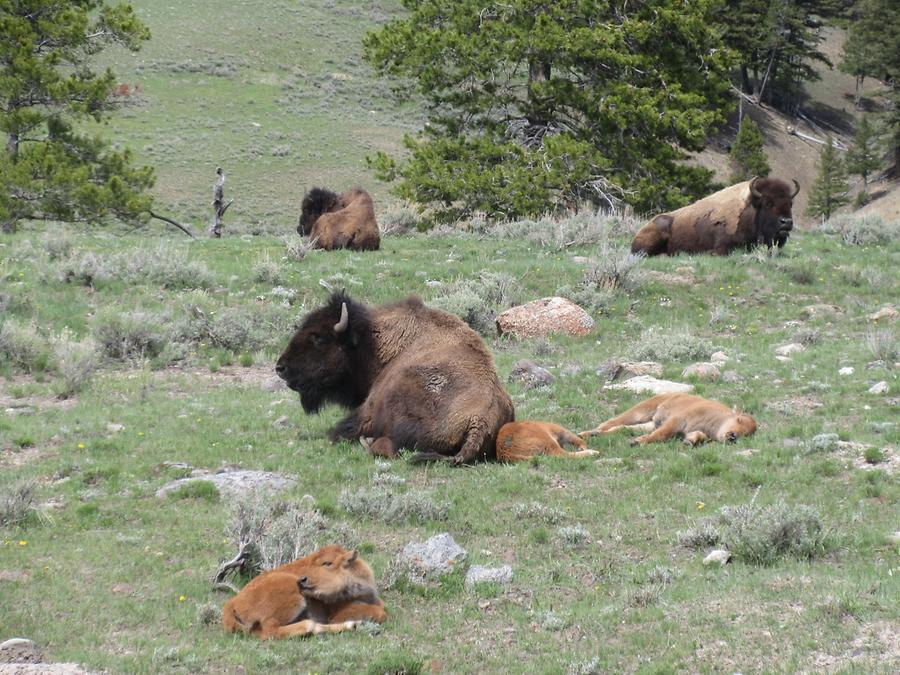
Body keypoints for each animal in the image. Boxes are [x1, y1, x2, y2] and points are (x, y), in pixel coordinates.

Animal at [274, 294, 512, 468]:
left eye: (319, 338)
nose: (280, 368)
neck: (373, 343)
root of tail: (480, 420)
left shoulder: (368, 410)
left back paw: (368, 443)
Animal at [580, 394, 756, 446]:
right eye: (739, 420)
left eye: (748, 434)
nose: (733, 436)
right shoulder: (677, 420)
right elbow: (662, 434)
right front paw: (638, 442)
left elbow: (697, 436)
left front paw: (689, 442)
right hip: (641, 411)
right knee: (612, 422)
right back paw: (584, 433)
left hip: (650, 423)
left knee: (620, 429)